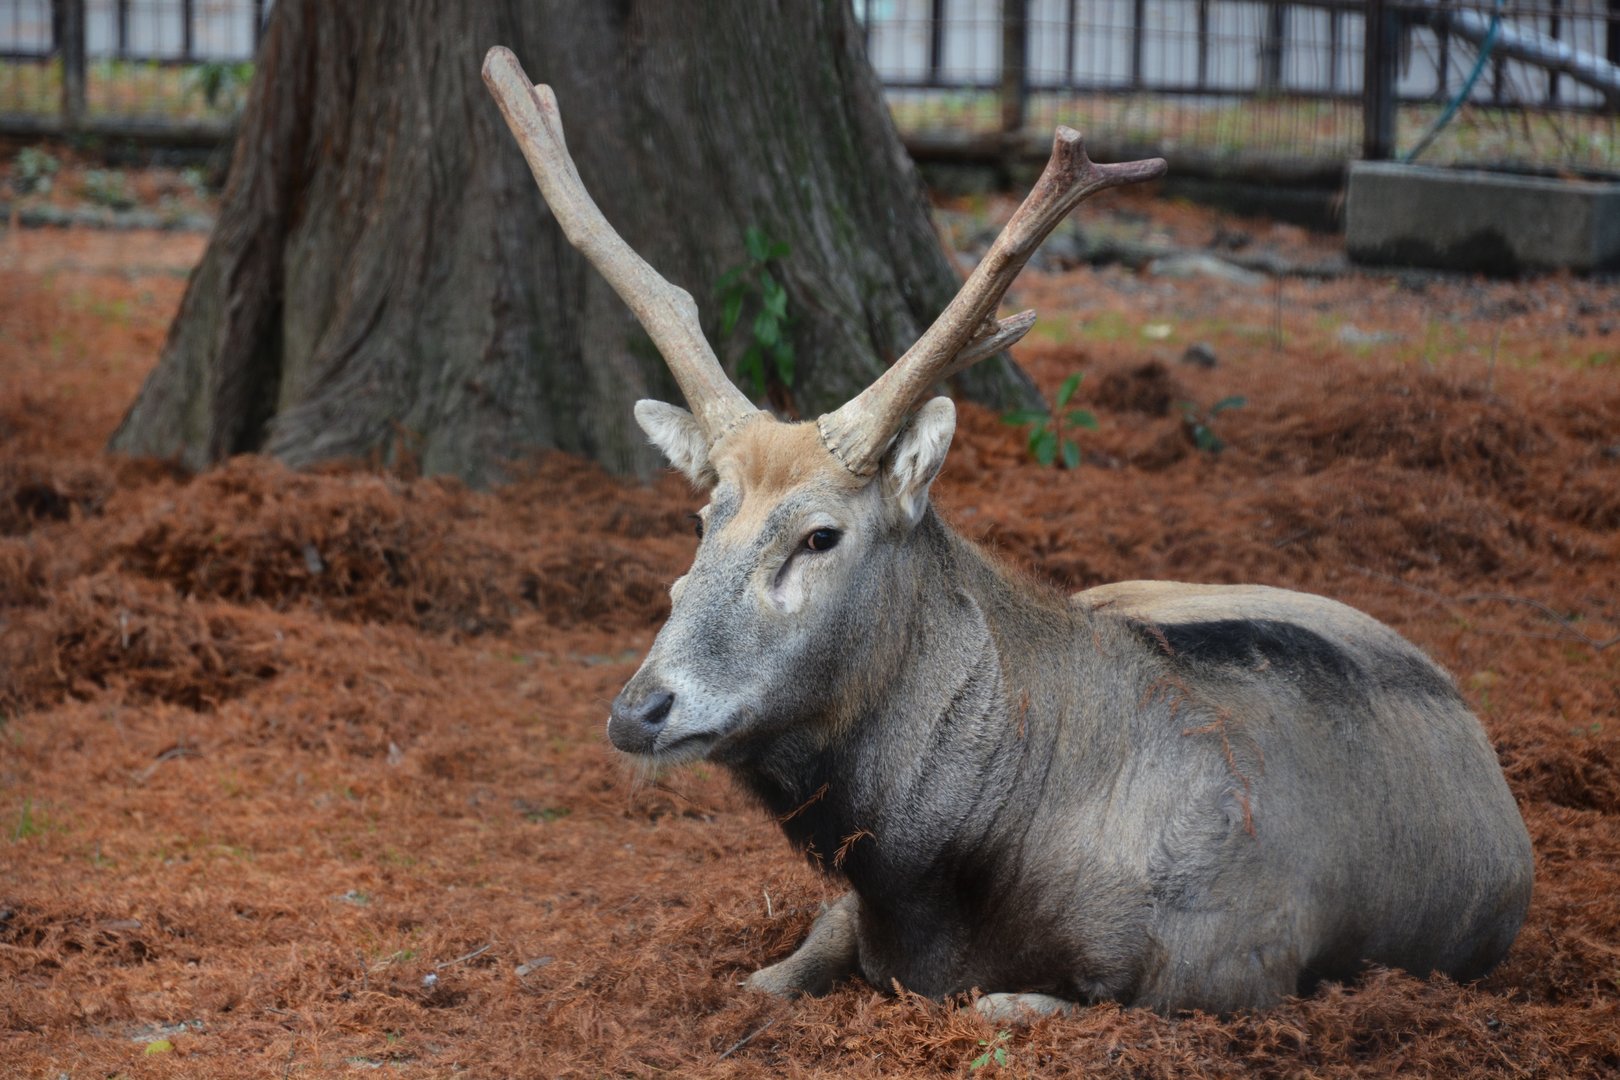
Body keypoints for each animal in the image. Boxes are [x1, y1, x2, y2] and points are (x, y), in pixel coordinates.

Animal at [484, 47, 1534, 1019]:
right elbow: (770, 975)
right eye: (701, 519)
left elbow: (1005, 1002)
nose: (638, 710)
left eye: (819, 537)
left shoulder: (1228, 967)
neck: (945, 879)